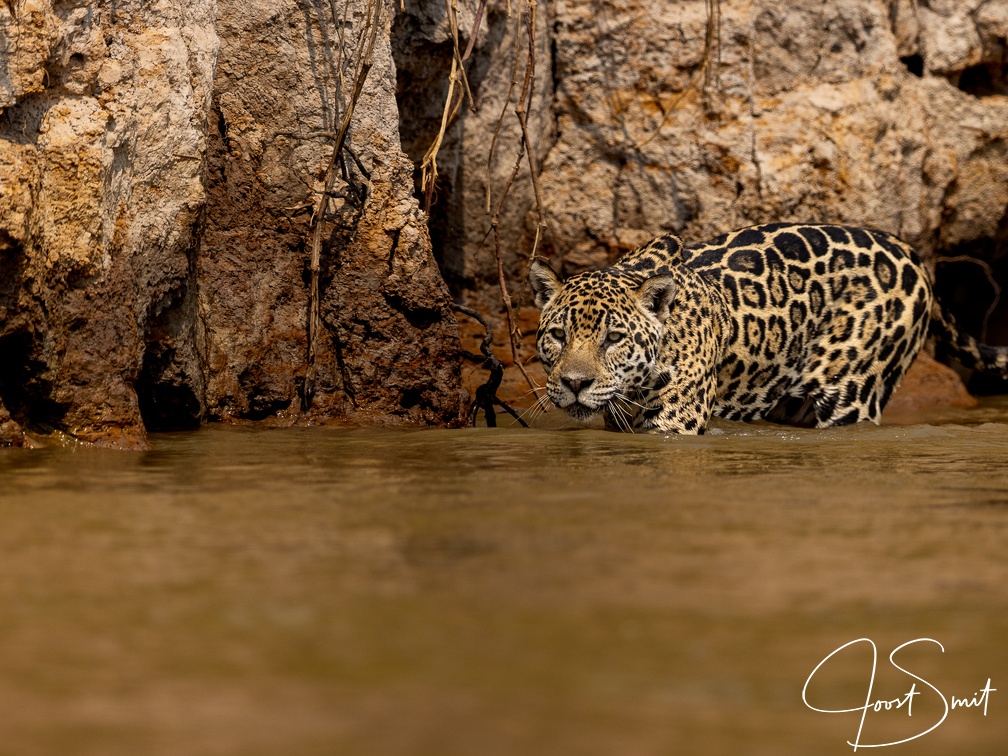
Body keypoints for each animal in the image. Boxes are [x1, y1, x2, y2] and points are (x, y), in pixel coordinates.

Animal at [529, 222, 1008, 434]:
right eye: (558, 336)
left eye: (614, 338)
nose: (574, 383)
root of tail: (912, 254)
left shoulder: (674, 425)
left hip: (852, 396)